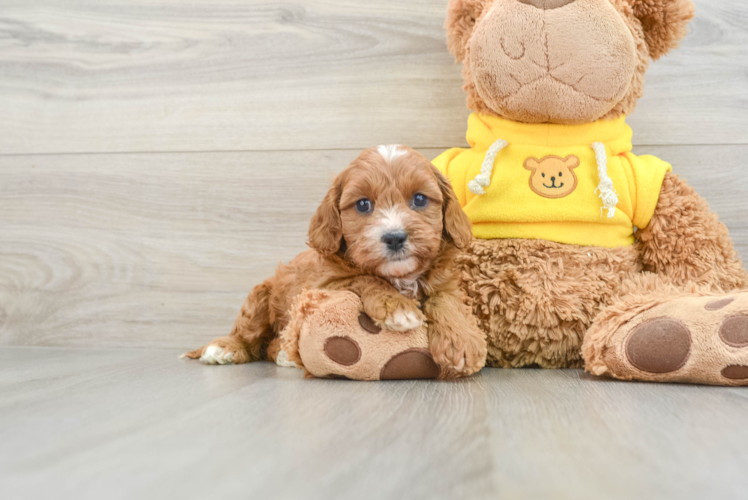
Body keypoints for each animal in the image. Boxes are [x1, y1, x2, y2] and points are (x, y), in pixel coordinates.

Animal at [181, 145, 486, 378]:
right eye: (362, 204)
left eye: (420, 199)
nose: (395, 237)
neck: (399, 277)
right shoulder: (324, 284)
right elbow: (364, 277)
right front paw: (396, 306)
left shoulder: (445, 282)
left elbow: (444, 300)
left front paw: (461, 342)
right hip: (260, 297)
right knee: (249, 336)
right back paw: (224, 348)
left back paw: (286, 355)